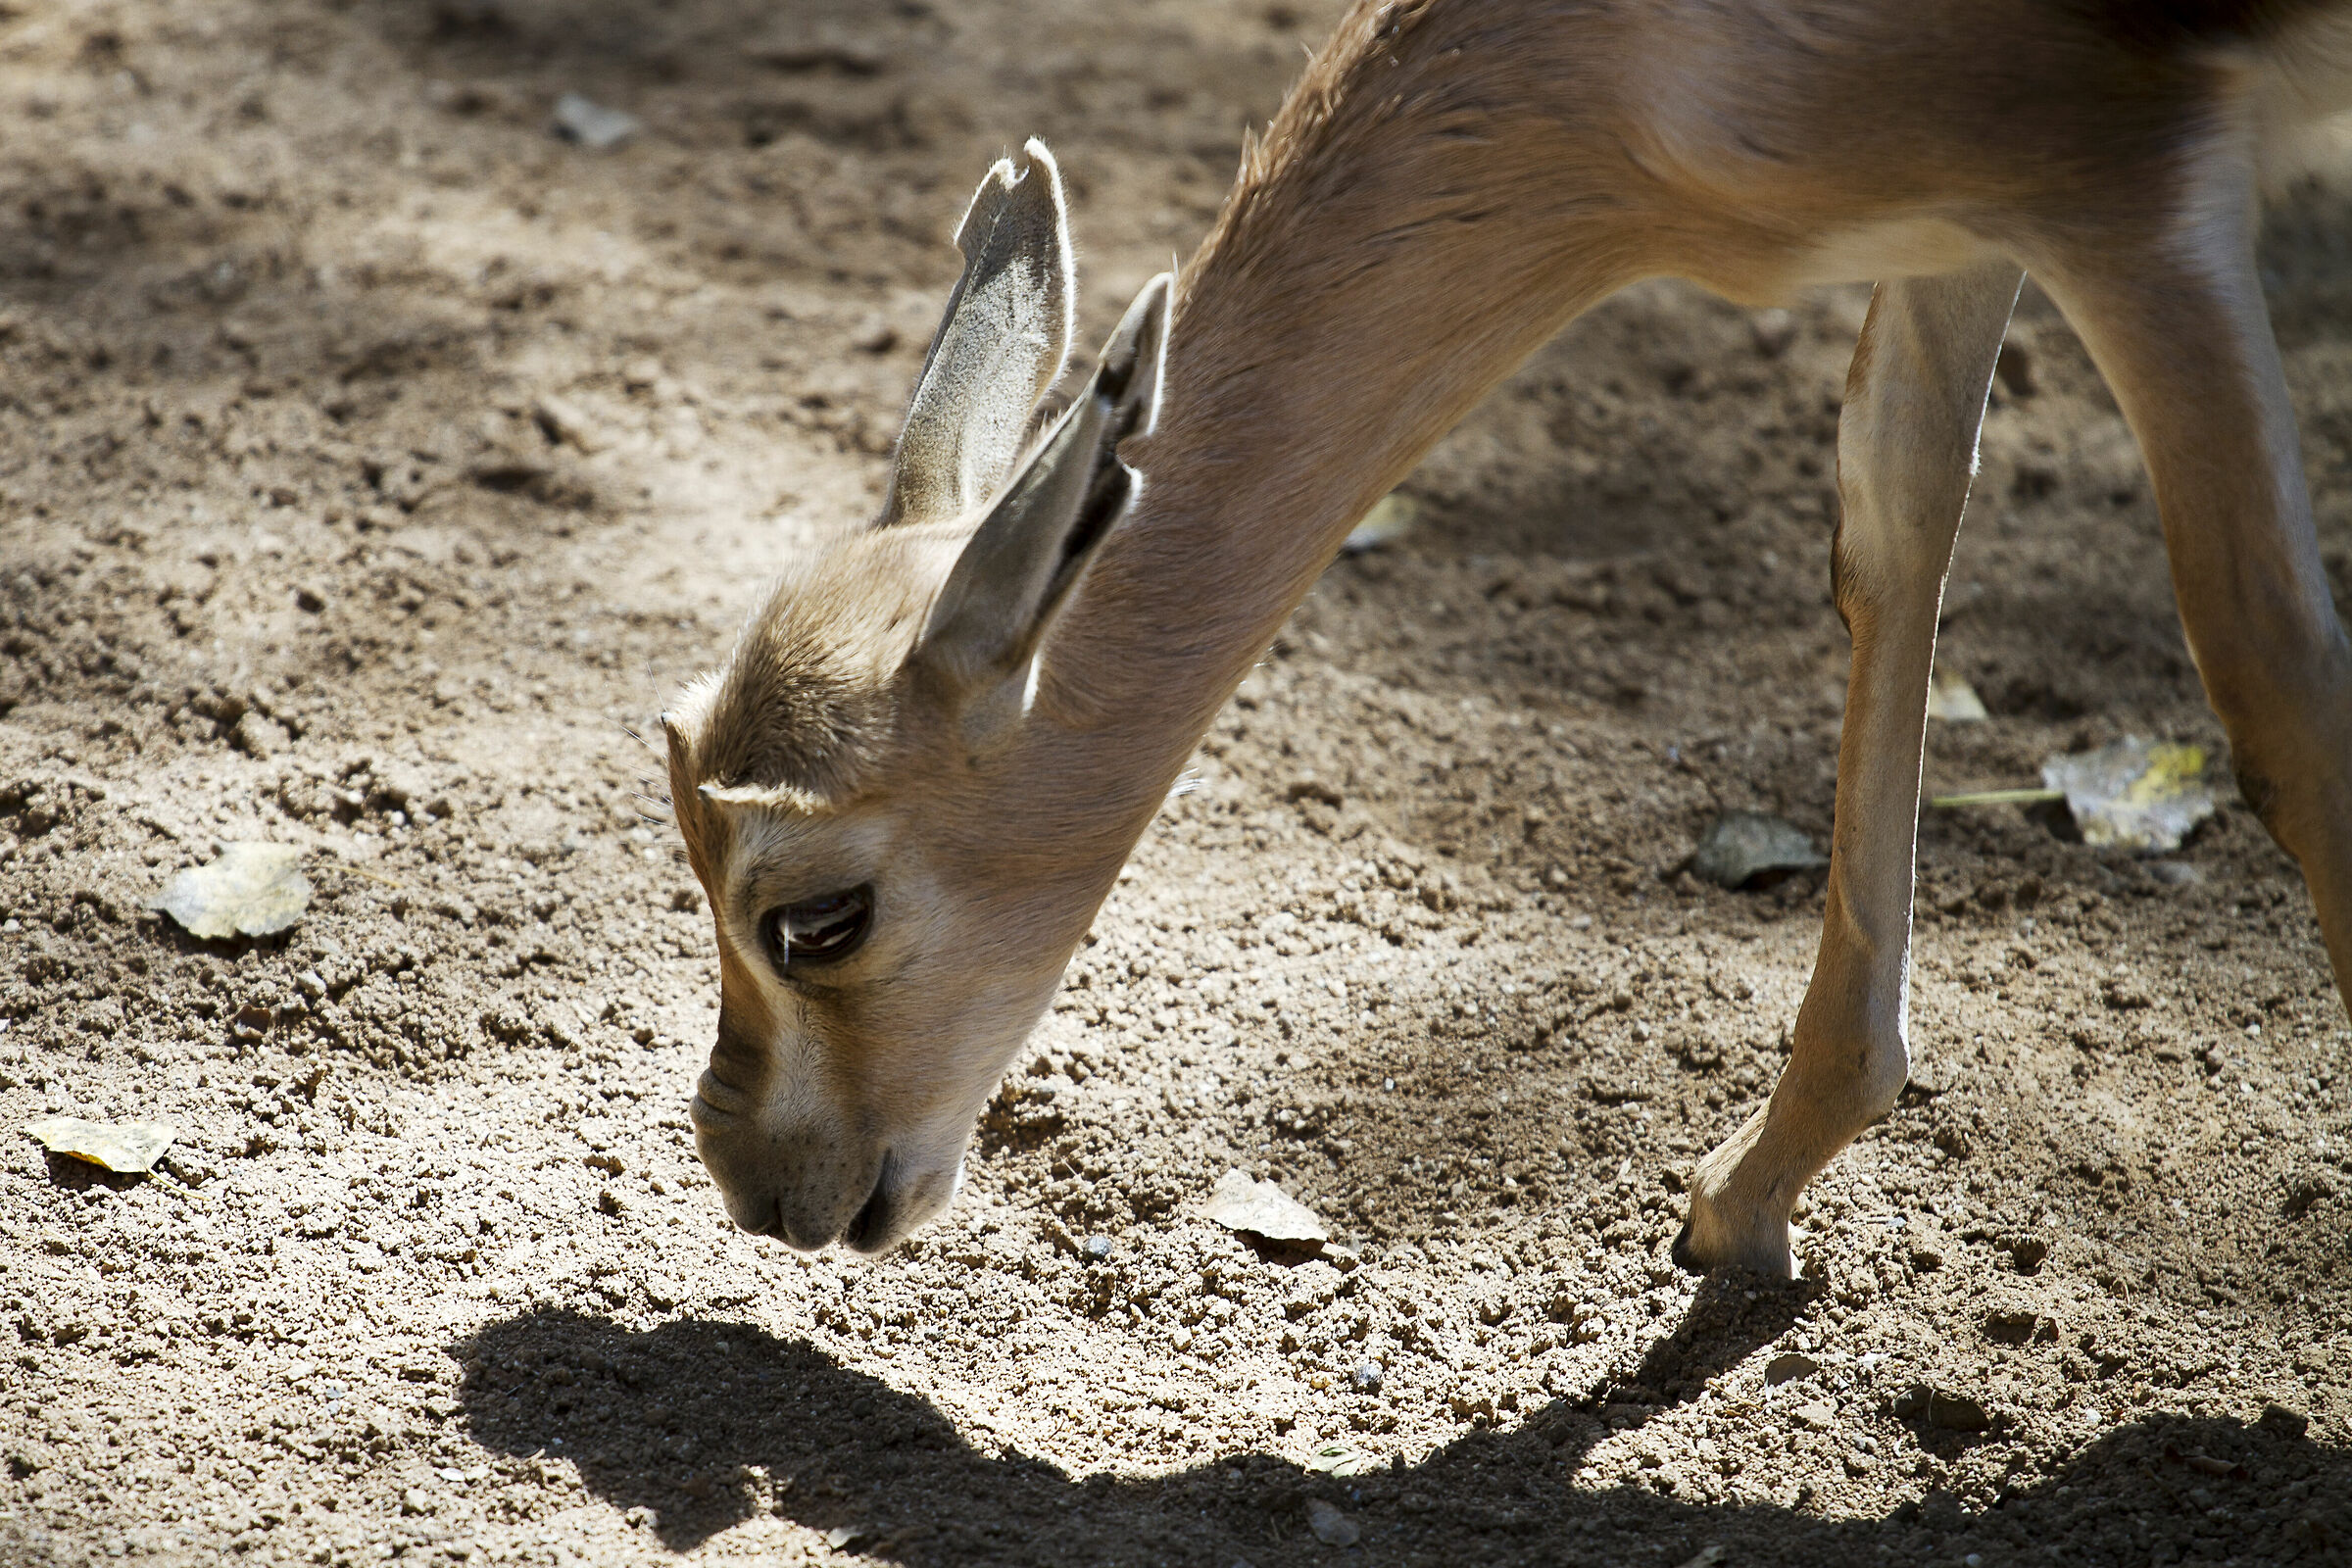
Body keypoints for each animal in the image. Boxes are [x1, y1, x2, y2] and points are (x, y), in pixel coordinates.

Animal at [661, 0, 2352, 1277]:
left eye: (818, 915)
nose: (755, 1183)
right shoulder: (1955, 220)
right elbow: (1890, 526)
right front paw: (1752, 1188)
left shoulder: (2131, 192)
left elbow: (2276, 688)